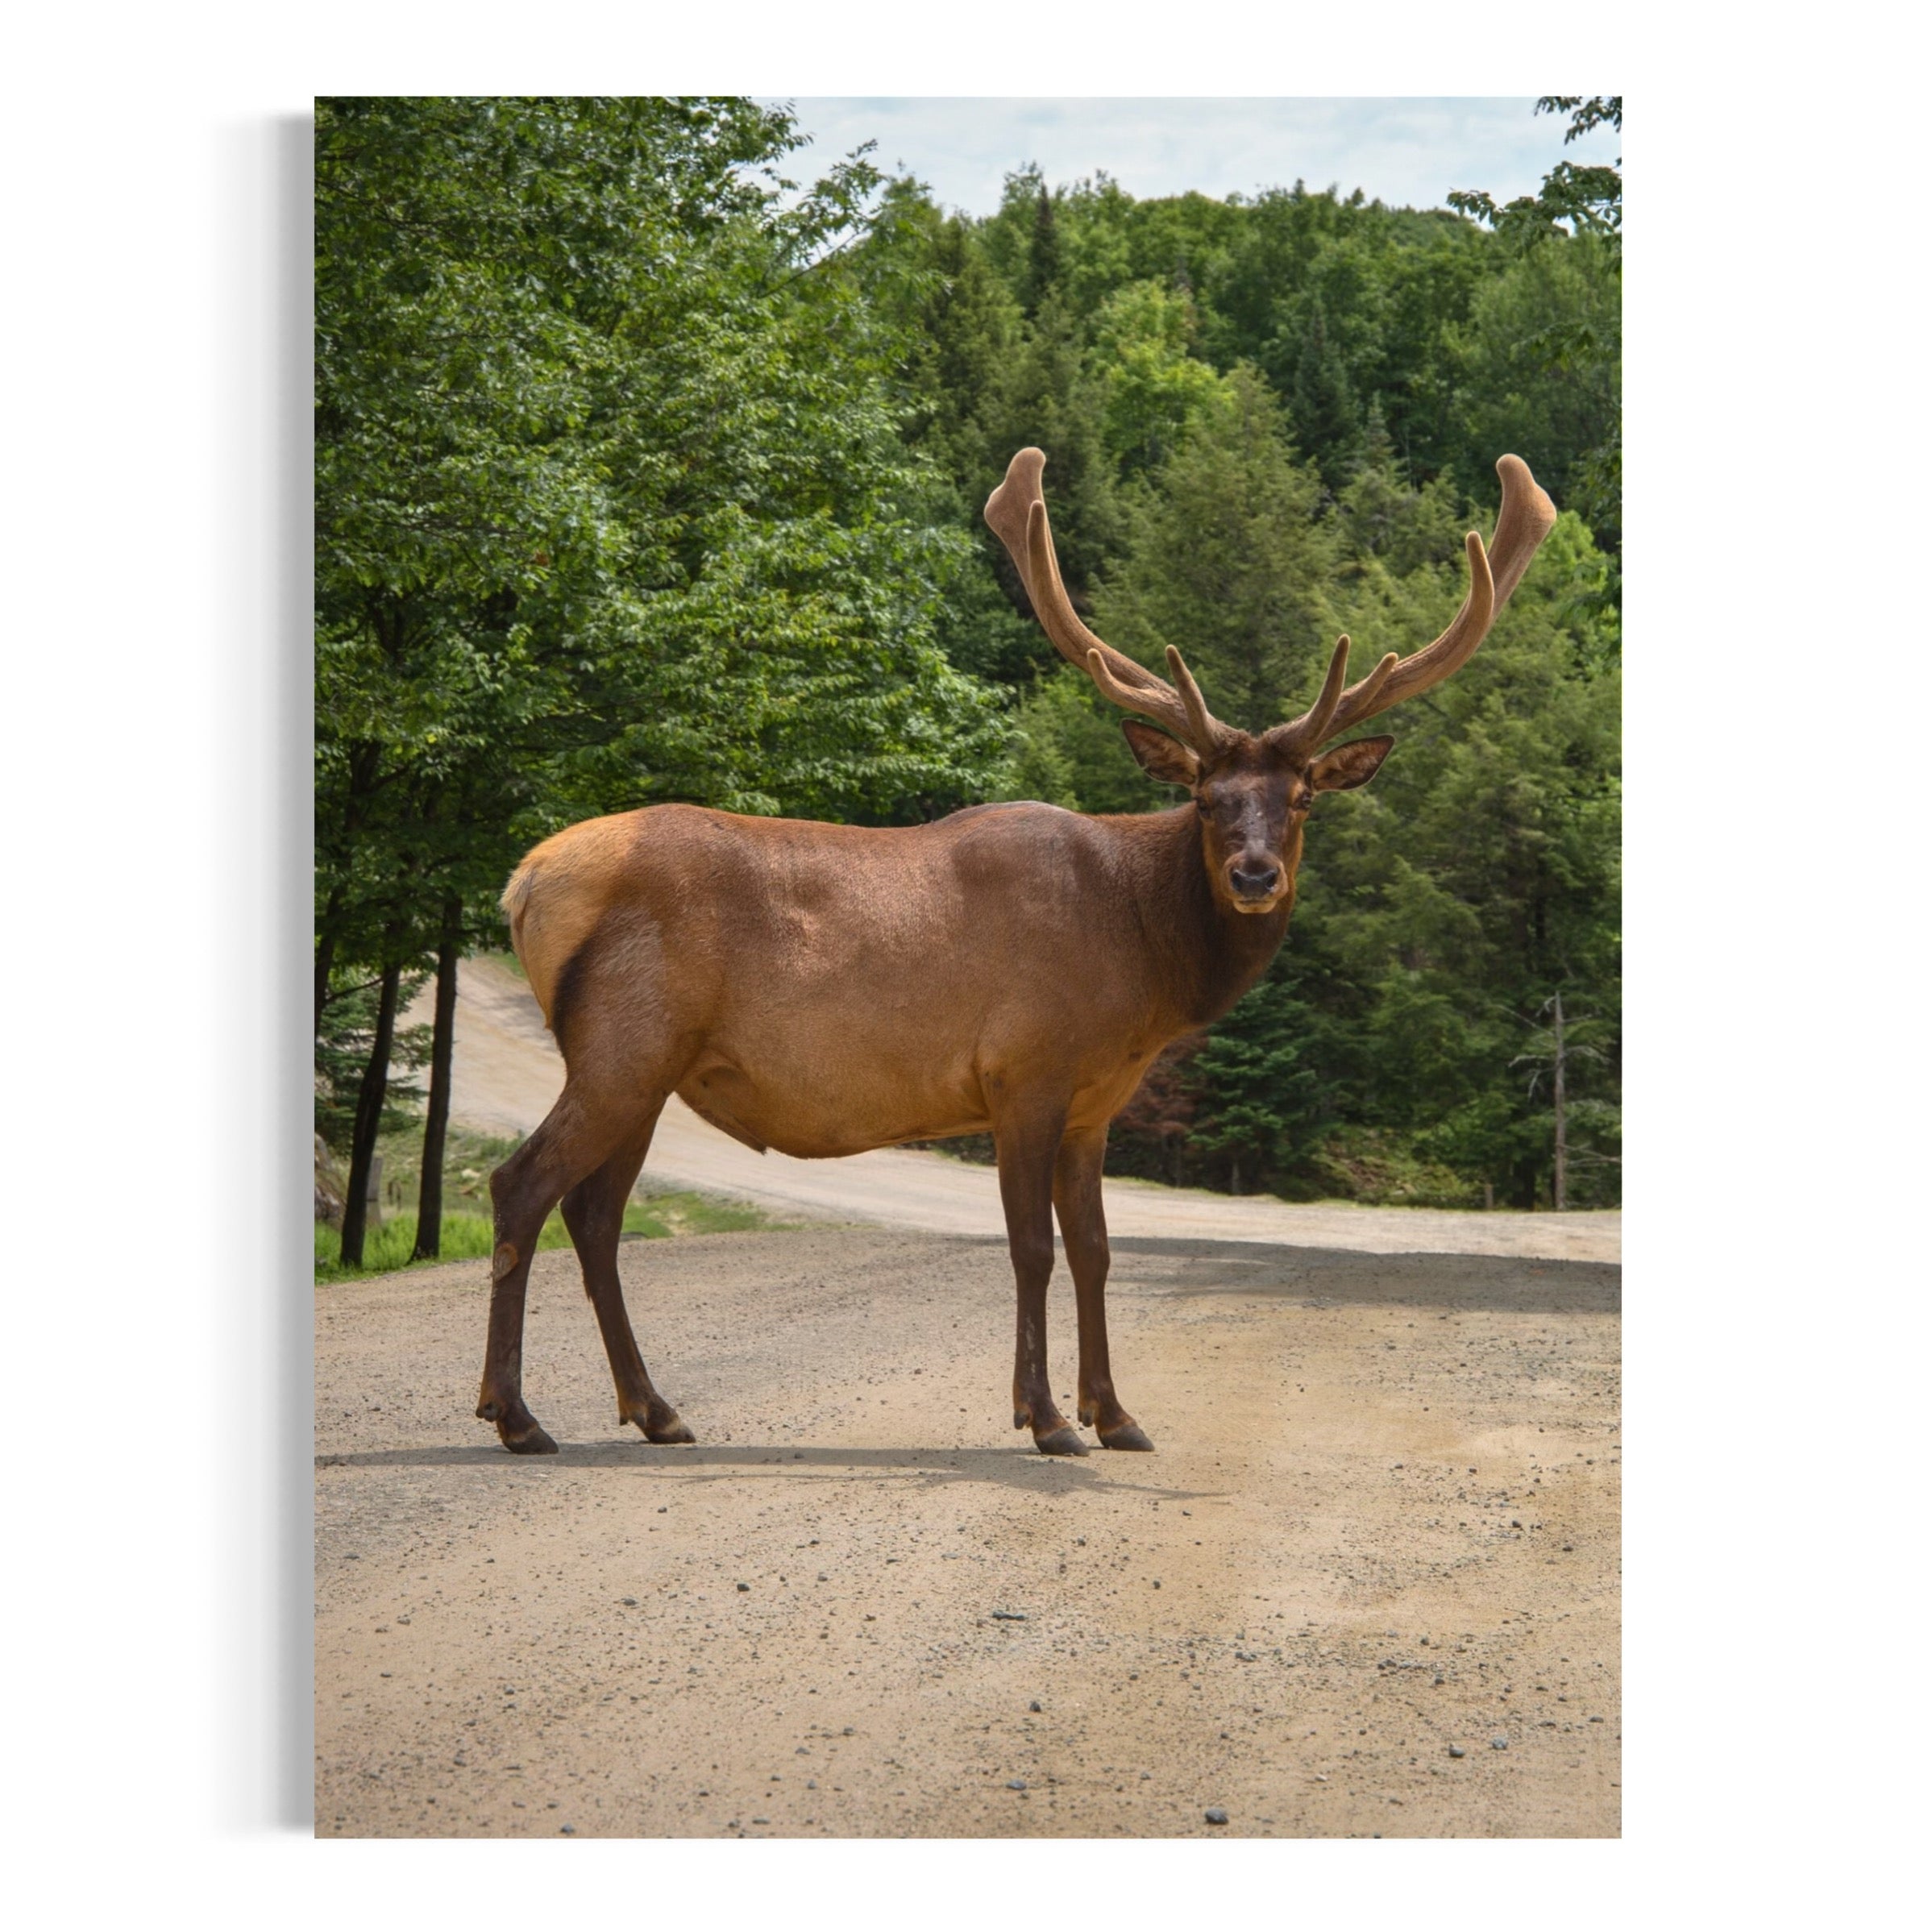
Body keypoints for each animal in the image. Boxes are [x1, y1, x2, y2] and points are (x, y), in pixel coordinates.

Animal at [477, 447, 1556, 1457]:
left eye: (1299, 801)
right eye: (1205, 796)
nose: (1254, 875)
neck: (1144, 967)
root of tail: (525, 881)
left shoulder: (1095, 1103)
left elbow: (1096, 1249)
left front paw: (1117, 1413)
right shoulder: (1021, 1070)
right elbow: (1032, 1248)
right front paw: (1045, 1418)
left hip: (650, 1066)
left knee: (596, 1214)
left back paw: (655, 1410)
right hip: (624, 1042)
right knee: (523, 1185)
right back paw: (517, 1414)